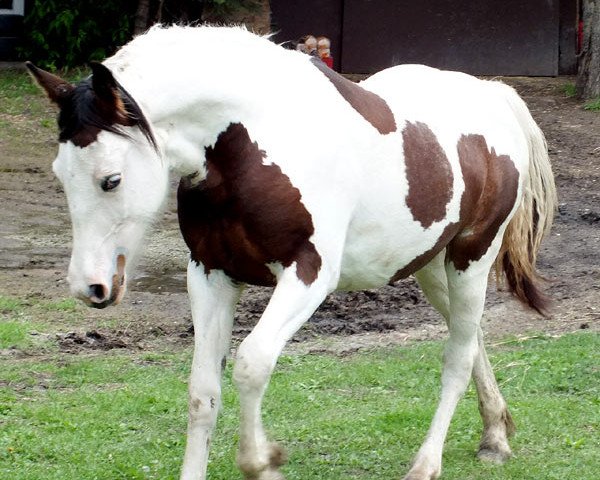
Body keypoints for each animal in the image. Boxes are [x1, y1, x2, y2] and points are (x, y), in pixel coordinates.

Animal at [27, 25, 552, 480]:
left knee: (457, 358)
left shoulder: (308, 275)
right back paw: (495, 435)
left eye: (111, 180)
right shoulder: (211, 274)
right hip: (429, 269)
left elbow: (251, 363)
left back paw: (427, 464)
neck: (253, 139)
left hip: (471, 259)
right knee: (473, 337)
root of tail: (492, 95)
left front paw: (262, 462)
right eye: (59, 175)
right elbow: (202, 391)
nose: (89, 286)